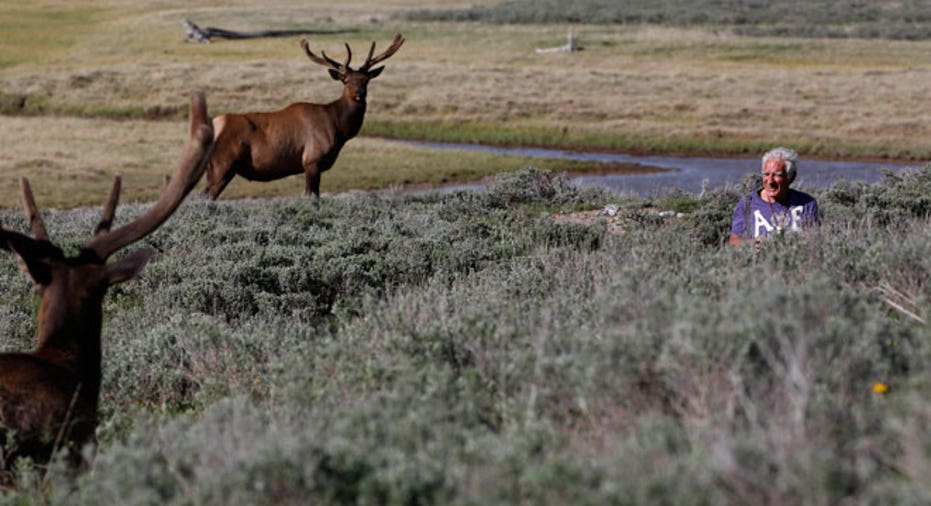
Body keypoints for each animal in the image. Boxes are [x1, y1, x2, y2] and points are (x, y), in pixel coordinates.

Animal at [204, 32, 404, 200]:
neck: (338, 128)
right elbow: (312, 196)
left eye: (365, 80)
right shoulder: (312, 160)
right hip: (222, 165)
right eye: (346, 80)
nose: (358, 95)